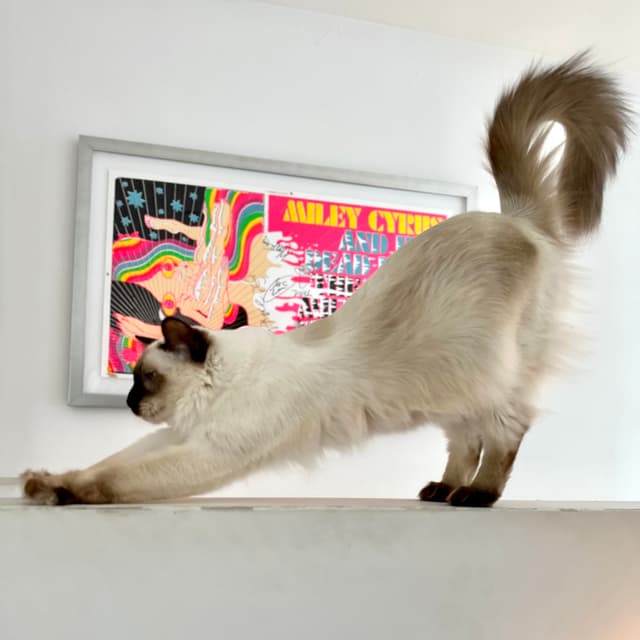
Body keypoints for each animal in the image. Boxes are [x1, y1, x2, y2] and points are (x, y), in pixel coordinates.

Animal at [23, 52, 632, 508]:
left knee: (507, 431)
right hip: (456, 395)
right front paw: (44, 481)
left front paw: (61, 494)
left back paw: (477, 495)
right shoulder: (178, 435)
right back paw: (442, 490)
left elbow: (113, 481)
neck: (219, 393)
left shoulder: (208, 450)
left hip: (491, 380)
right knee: (466, 441)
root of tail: (515, 219)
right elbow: (103, 464)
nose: (128, 403)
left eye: (144, 380)